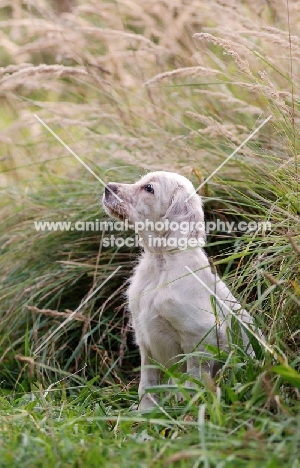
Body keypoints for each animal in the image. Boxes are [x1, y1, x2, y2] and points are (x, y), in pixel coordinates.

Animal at [102, 172, 260, 410]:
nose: (107, 187)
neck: (161, 262)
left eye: (149, 188)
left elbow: (193, 380)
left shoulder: (200, 335)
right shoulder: (145, 342)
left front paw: (187, 411)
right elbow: (147, 384)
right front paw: (146, 412)